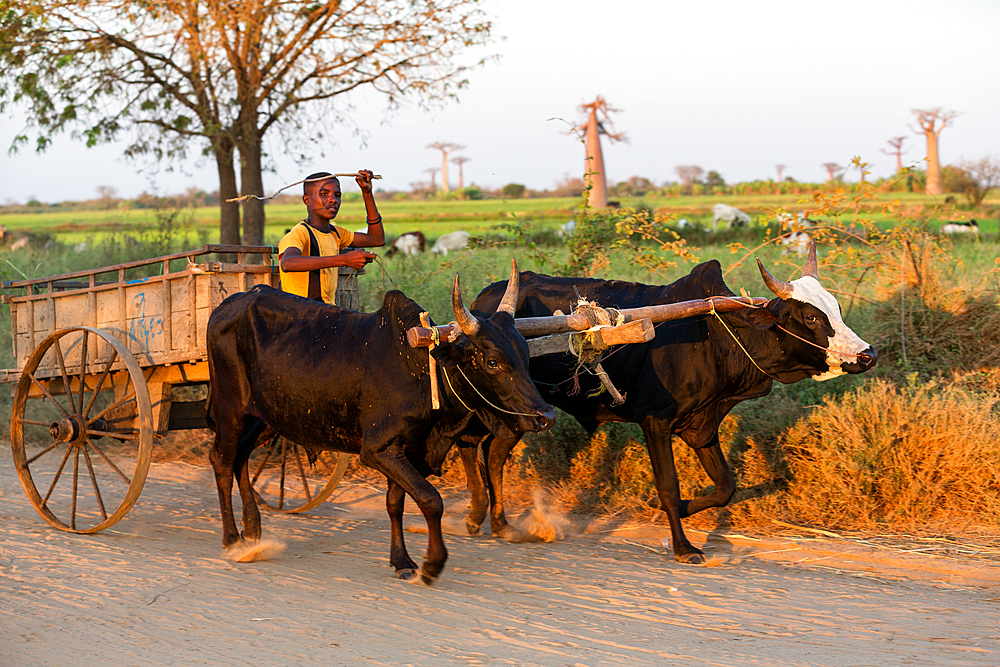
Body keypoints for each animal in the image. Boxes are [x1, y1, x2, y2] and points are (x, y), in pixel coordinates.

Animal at [207, 262, 560, 584]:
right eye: (492, 361)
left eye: (525, 354)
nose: (545, 416)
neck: (422, 369)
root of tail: (229, 302)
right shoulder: (379, 450)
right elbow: (431, 500)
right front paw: (432, 564)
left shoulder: (406, 451)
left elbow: (395, 504)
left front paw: (402, 561)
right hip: (231, 409)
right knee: (222, 461)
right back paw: (233, 539)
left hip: (263, 417)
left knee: (238, 457)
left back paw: (253, 530)